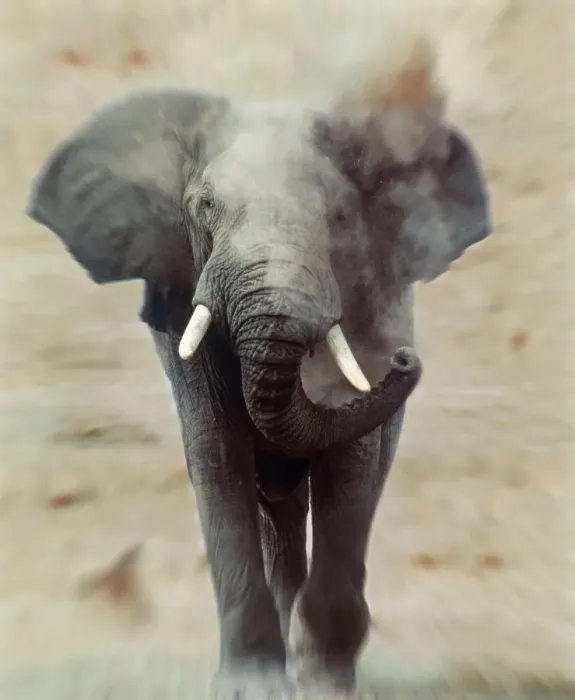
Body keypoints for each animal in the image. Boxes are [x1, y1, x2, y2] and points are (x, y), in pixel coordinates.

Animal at [26, 46, 490, 698]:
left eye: (341, 215)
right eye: (205, 206)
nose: (404, 359)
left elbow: (348, 469)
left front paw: (325, 684)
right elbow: (217, 454)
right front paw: (254, 685)